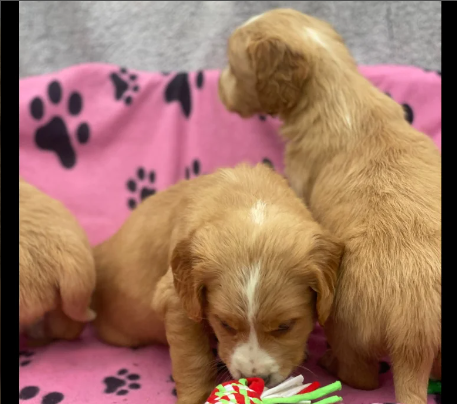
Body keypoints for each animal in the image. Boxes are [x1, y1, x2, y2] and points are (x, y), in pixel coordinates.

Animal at [92, 163, 342, 404]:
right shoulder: (177, 300)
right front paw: (199, 396)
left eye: (285, 326)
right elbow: (192, 358)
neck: (251, 197)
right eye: (225, 324)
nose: (255, 378)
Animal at [219, 7, 440, 404]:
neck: (340, 92)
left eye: (232, 67)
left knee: (362, 376)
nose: (216, 85)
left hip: (345, 323)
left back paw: (333, 363)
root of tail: (414, 333)